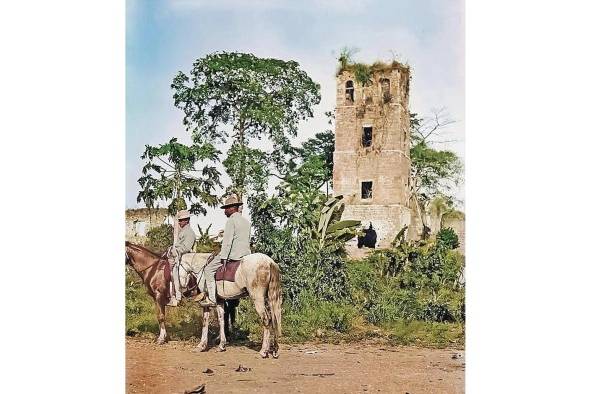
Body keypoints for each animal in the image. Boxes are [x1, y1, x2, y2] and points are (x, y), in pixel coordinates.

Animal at [123, 240, 284, 358]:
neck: (153, 268)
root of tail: (269, 262)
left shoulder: (158, 298)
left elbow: (161, 317)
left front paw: (161, 339)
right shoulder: (217, 300)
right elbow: (217, 320)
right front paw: (215, 345)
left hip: (257, 298)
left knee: (266, 319)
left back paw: (264, 351)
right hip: (268, 298)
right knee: (274, 318)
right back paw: (275, 350)